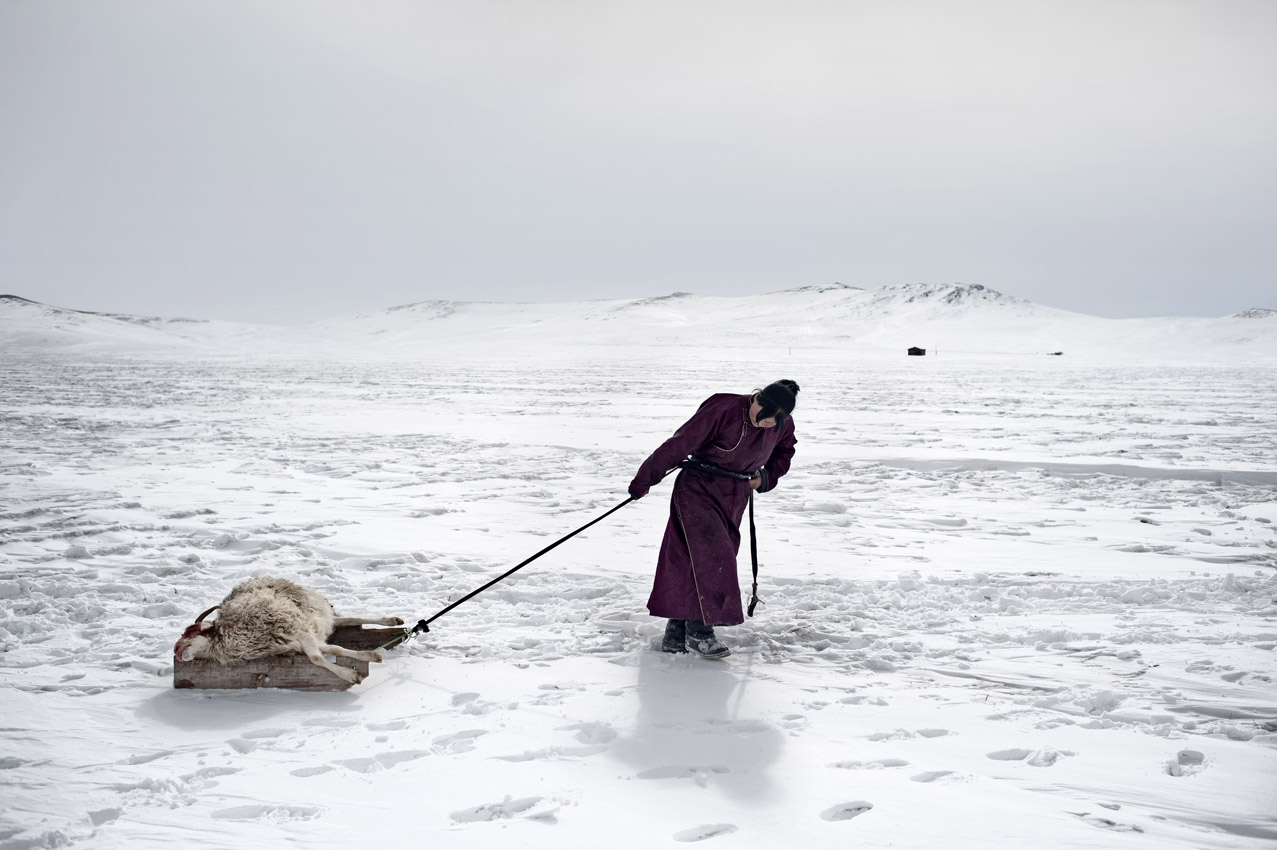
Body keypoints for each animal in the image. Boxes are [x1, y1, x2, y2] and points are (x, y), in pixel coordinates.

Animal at [174, 571, 400, 684]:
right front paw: (368, 658)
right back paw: (393, 622)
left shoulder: (297, 629)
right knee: (348, 620)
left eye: (191, 631)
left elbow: (318, 657)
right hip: (317, 620)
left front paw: (352, 673)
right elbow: (329, 651)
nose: (176, 650)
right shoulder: (294, 640)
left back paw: (393, 622)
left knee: (348, 619)